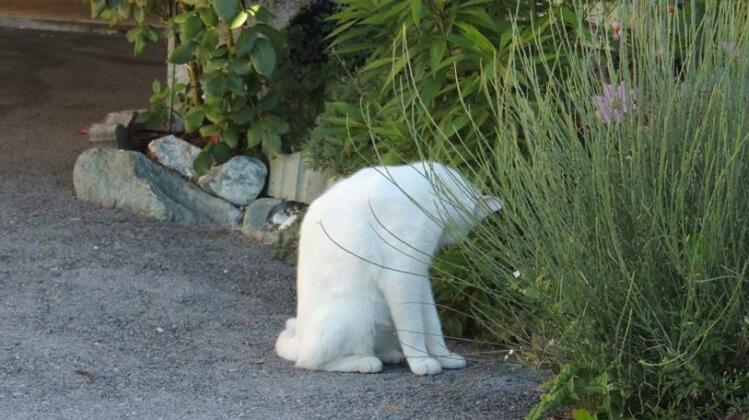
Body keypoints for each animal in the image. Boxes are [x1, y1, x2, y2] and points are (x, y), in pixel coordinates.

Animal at [272, 160, 500, 374]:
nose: (453, 241)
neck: (427, 193)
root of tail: (299, 340)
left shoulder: (420, 278)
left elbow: (431, 323)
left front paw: (443, 357)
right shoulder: (402, 277)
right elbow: (413, 328)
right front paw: (421, 362)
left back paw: (388, 354)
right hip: (360, 309)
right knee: (311, 361)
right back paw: (364, 362)